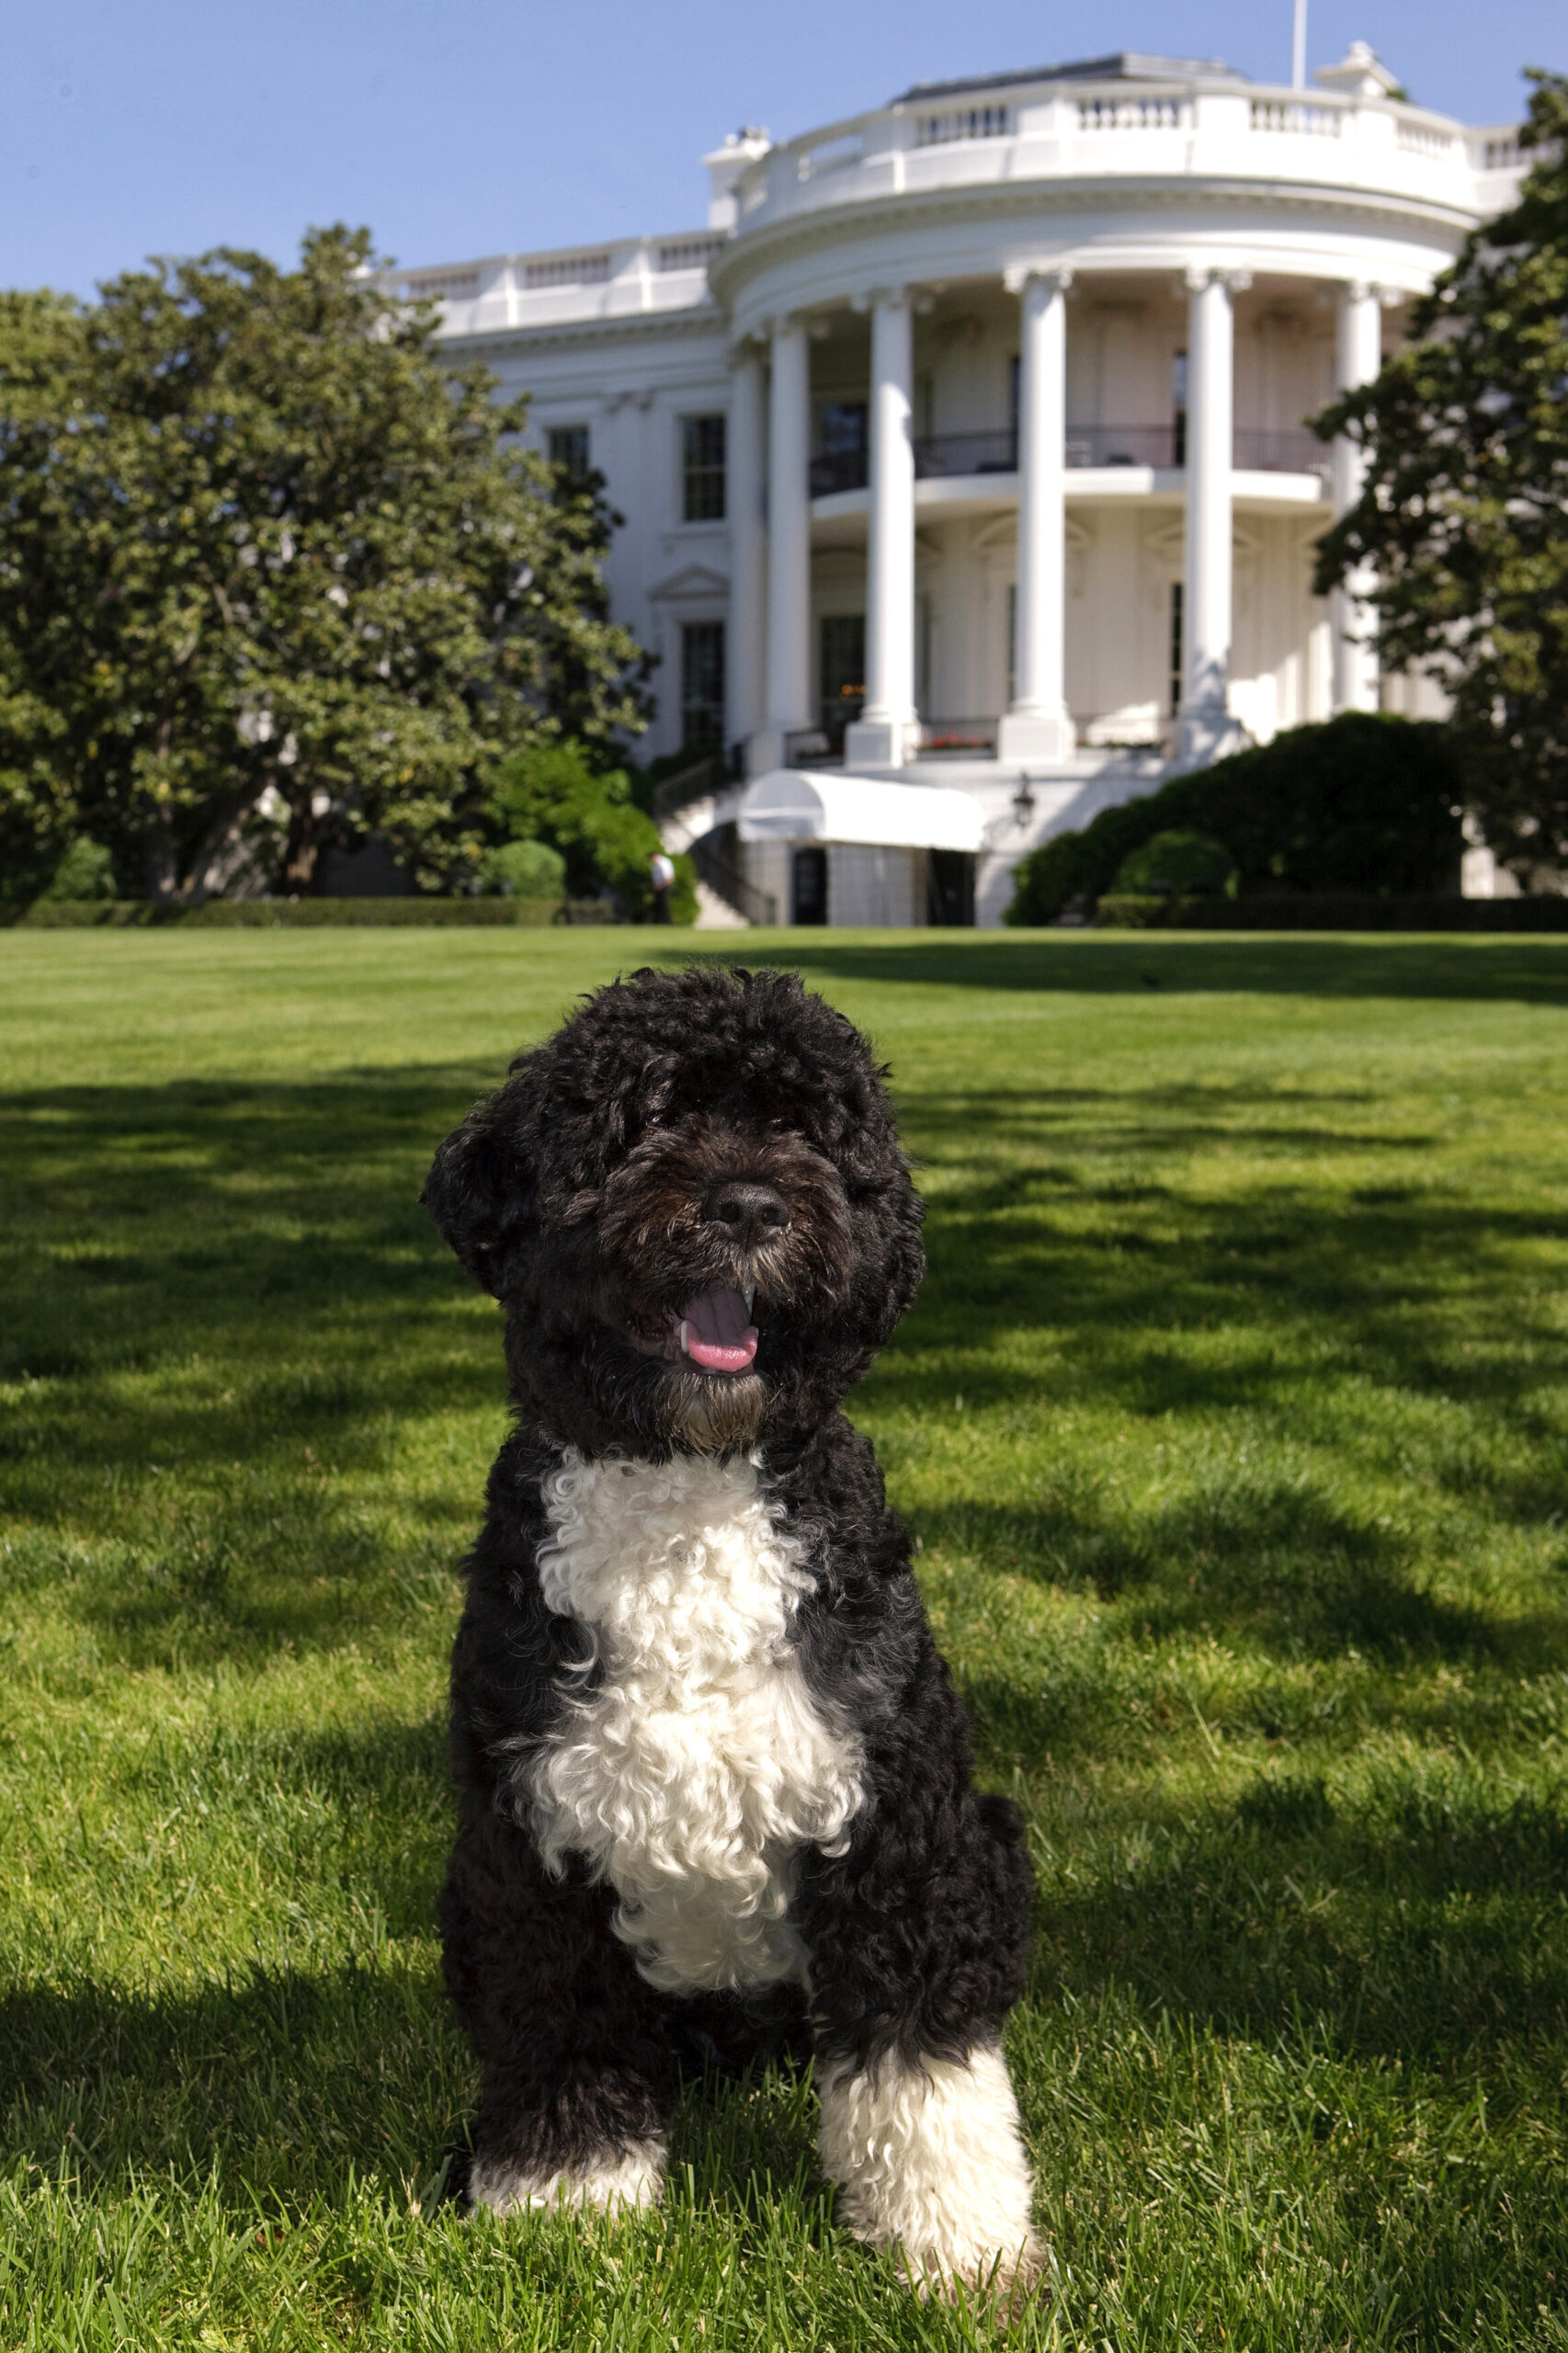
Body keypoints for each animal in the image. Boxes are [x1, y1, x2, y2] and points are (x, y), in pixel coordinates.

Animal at [421, 960, 1036, 2296]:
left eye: (807, 1128)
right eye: (641, 1121)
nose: (748, 1204)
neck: (687, 1488)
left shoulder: (898, 1835)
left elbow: (923, 2069)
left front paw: (959, 2239)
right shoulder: (530, 1851)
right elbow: (562, 2040)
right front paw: (562, 2203)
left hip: (993, 1842)